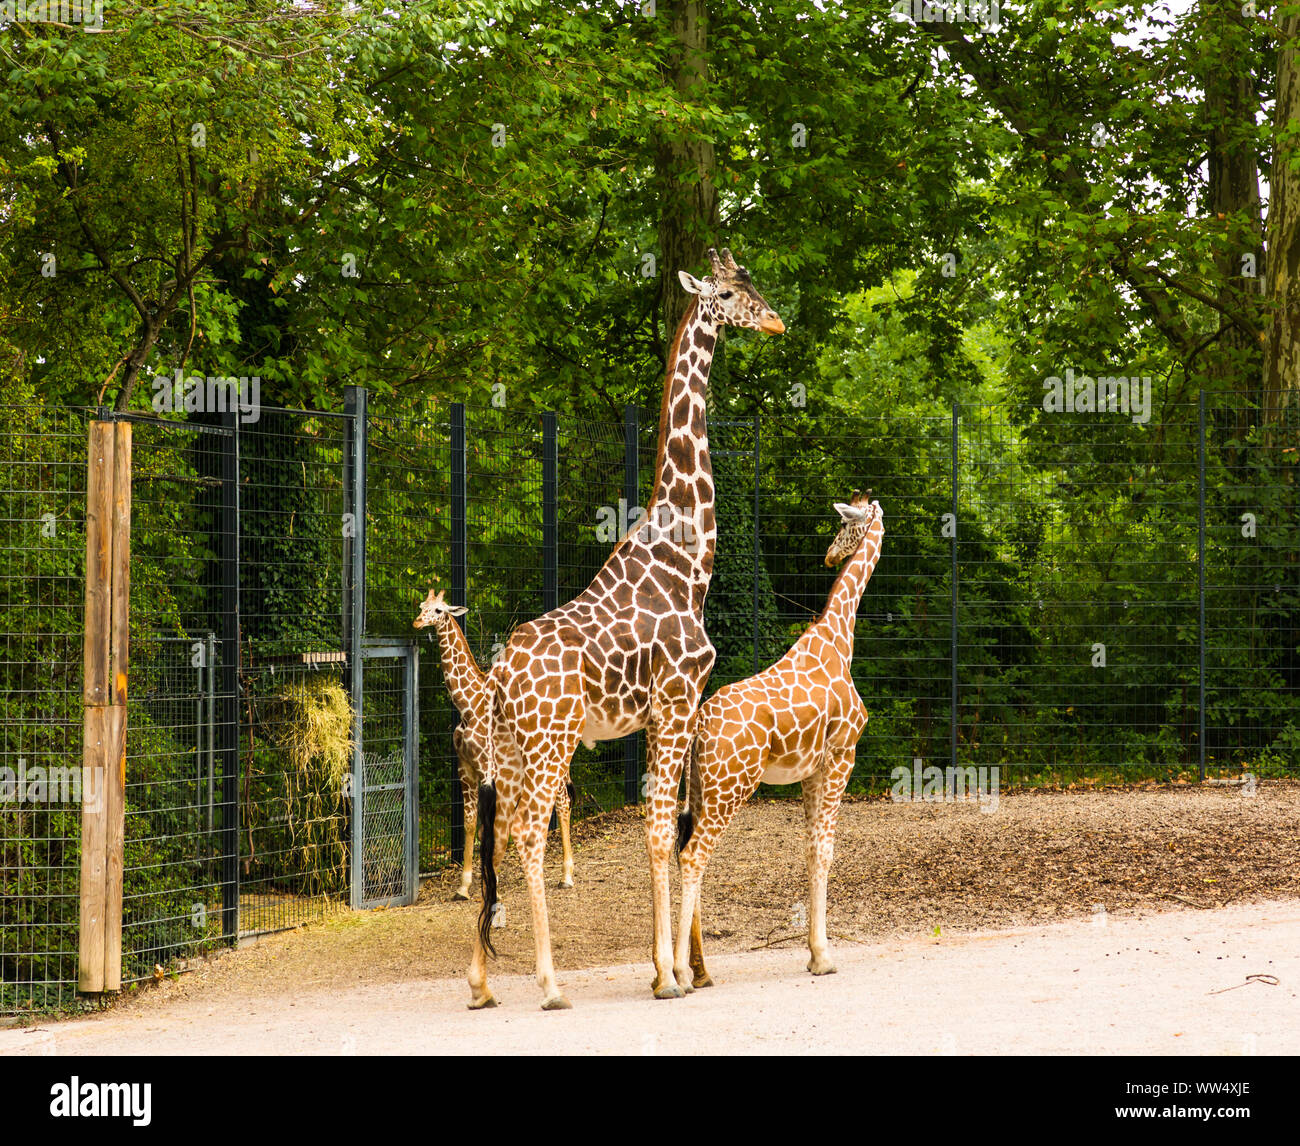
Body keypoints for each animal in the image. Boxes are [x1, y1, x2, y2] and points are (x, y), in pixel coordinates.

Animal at [410, 589, 574, 904]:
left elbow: (492, 825)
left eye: (439, 610)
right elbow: (470, 823)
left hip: (551, 759)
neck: (467, 706)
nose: (416, 622)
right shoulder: (465, 767)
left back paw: (567, 876)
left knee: (563, 801)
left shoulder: (488, 768)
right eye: (422, 606)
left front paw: (491, 879)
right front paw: (463, 887)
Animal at [473, 245, 785, 1003]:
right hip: (550, 741)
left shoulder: (664, 714)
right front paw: (671, 973)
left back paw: (482, 982)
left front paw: (676, 966)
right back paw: (550, 984)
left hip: (515, 748)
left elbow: (665, 828)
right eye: (729, 293)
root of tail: (498, 674)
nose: (775, 321)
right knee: (528, 835)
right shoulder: (676, 703)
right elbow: (660, 832)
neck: (688, 561)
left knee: (499, 835)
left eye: (755, 283)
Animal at [670, 488, 883, 982]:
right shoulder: (843, 755)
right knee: (694, 856)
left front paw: (814, 953)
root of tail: (700, 726)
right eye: (844, 524)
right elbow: (825, 850)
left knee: (687, 852)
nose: (829, 555)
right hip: (732, 786)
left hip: (702, 787)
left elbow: (809, 850)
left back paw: (701, 970)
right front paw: (823, 957)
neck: (839, 637)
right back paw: (681, 973)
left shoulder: (811, 770)